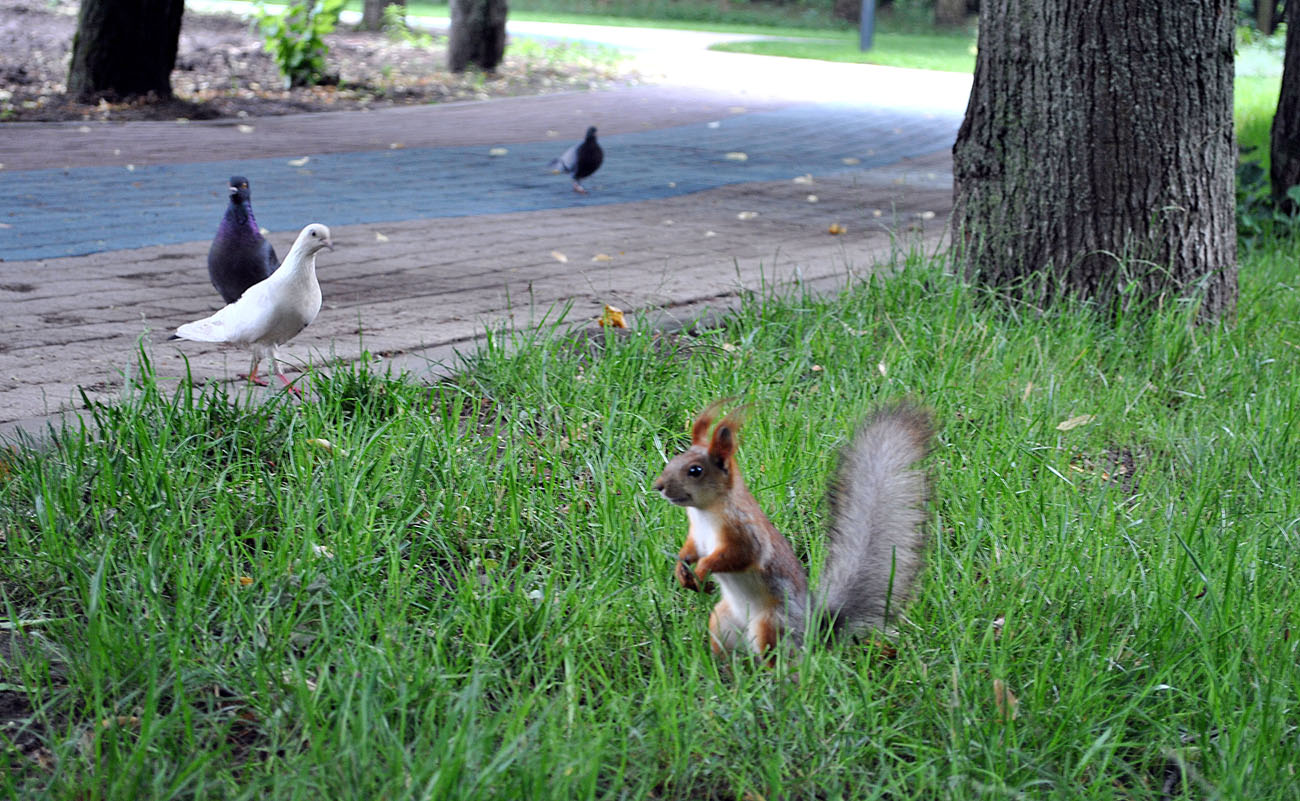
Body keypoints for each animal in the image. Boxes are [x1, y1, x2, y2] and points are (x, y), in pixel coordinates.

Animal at [655, 400, 930, 657]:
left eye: (695, 470)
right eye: (675, 459)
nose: (659, 486)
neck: (705, 512)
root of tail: (813, 632)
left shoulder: (745, 534)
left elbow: (740, 556)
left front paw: (703, 569)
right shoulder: (697, 536)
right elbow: (690, 550)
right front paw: (682, 570)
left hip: (770, 625)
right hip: (722, 621)